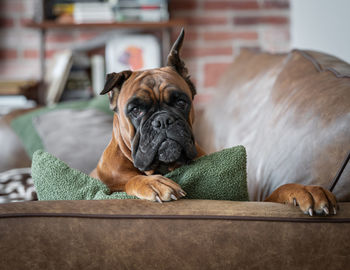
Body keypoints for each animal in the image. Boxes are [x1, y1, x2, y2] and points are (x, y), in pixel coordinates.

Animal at [91, 28, 338, 216]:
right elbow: (130, 181)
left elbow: (278, 191)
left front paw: (305, 190)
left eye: (181, 101)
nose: (163, 120)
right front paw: (152, 183)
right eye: (136, 110)